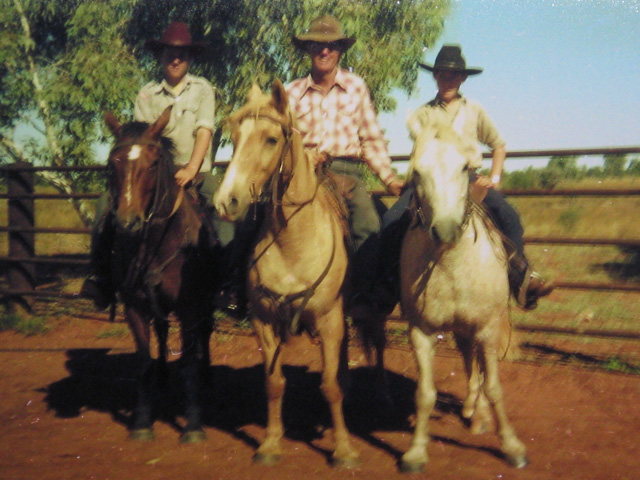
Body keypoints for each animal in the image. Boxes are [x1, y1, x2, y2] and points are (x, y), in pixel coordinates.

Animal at [101, 108, 219, 442]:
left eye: (153, 163)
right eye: (112, 163)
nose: (127, 223)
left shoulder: (190, 307)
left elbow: (190, 362)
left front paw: (193, 426)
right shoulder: (133, 307)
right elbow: (143, 362)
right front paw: (142, 423)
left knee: (205, 334)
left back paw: (207, 376)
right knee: (162, 330)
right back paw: (164, 376)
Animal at [212, 80, 358, 466]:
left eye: (270, 139)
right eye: (235, 137)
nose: (226, 202)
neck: (294, 242)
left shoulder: (330, 319)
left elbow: (331, 385)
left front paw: (343, 448)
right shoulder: (263, 320)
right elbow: (274, 383)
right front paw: (270, 443)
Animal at [398, 121, 528, 472]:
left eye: (464, 168)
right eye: (417, 172)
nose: (445, 230)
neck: (451, 264)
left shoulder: (487, 327)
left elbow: (494, 387)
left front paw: (512, 447)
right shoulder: (421, 331)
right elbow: (424, 394)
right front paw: (416, 452)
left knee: (480, 369)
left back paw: (479, 415)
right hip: (462, 329)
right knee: (470, 362)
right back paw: (472, 409)